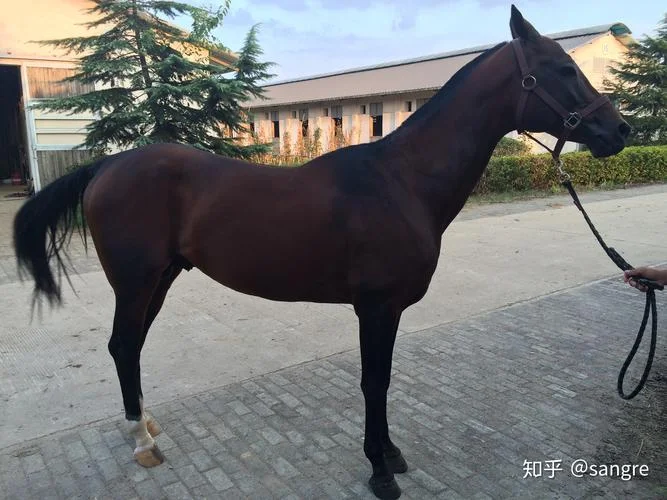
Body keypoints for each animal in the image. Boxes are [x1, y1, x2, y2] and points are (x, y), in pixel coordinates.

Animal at [13, 6, 629, 499]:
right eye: (563, 69)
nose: (620, 130)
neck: (401, 182)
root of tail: (108, 165)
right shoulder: (376, 308)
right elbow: (373, 382)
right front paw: (380, 469)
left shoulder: (388, 311)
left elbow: (383, 379)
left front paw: (391, 455)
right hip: (137, 280)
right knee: (122, 346)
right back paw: (141, 440)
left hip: (160, 278)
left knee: (132, 347)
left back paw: (144, 425)